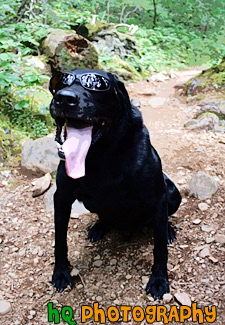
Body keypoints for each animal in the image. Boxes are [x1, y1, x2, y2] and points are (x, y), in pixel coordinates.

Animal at [49, 68, 181, 298]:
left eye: (97, 84)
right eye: (61, 82)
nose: (64, 98)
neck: (101, 156)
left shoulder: (158, 198)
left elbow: (160, 248)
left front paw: (158, 280)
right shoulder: (62, 198)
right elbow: (60, 241)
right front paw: (61, 273)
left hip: (172, 192)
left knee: (163, 221)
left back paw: (169, 231)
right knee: (105, 217)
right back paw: (99, 227)